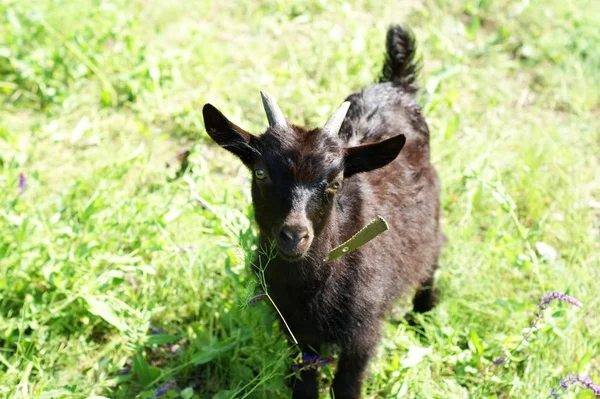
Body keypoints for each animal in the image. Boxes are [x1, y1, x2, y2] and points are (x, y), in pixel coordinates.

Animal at [202, 25, 440, 399]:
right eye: (261, 173)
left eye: (335, 182)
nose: (294, 236)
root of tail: (394, 83)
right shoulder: (294, 330)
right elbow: (304, 380)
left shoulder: (363, 331)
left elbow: (346, 386)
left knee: (434, 254)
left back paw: (423, 315)